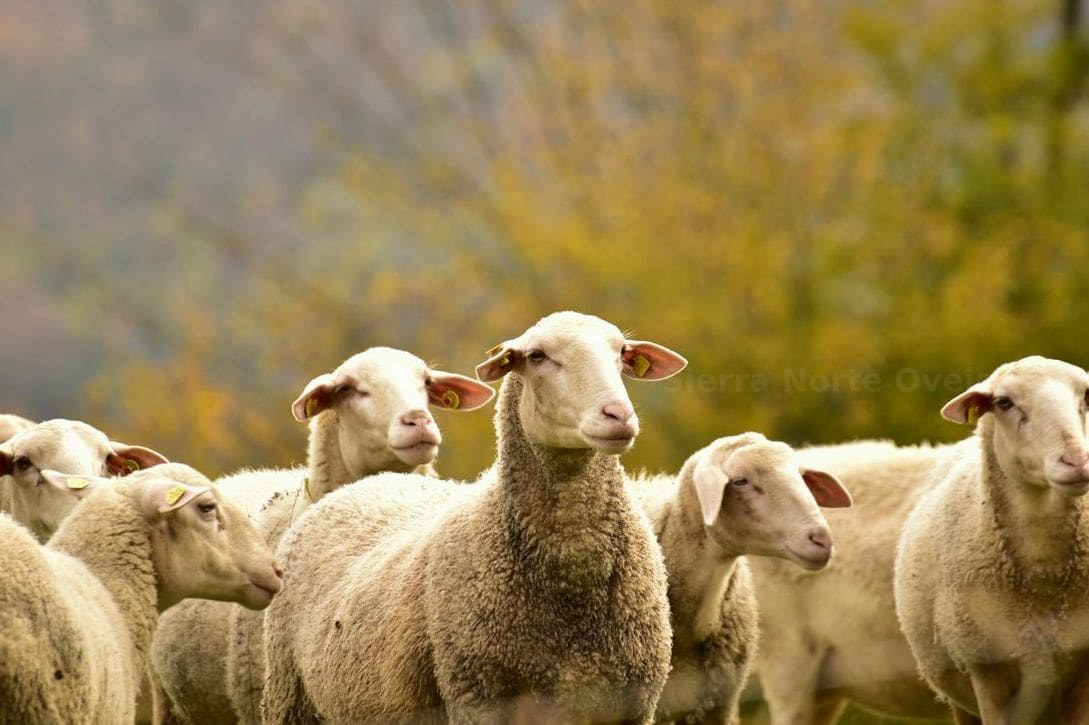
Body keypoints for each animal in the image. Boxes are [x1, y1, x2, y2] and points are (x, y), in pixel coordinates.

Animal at [262, 311, 688, 723]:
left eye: (621, 354)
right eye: (537, 356)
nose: (619, 415)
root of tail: (375, 481)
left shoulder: (634, 706)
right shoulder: (477, 696)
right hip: (289, 697)